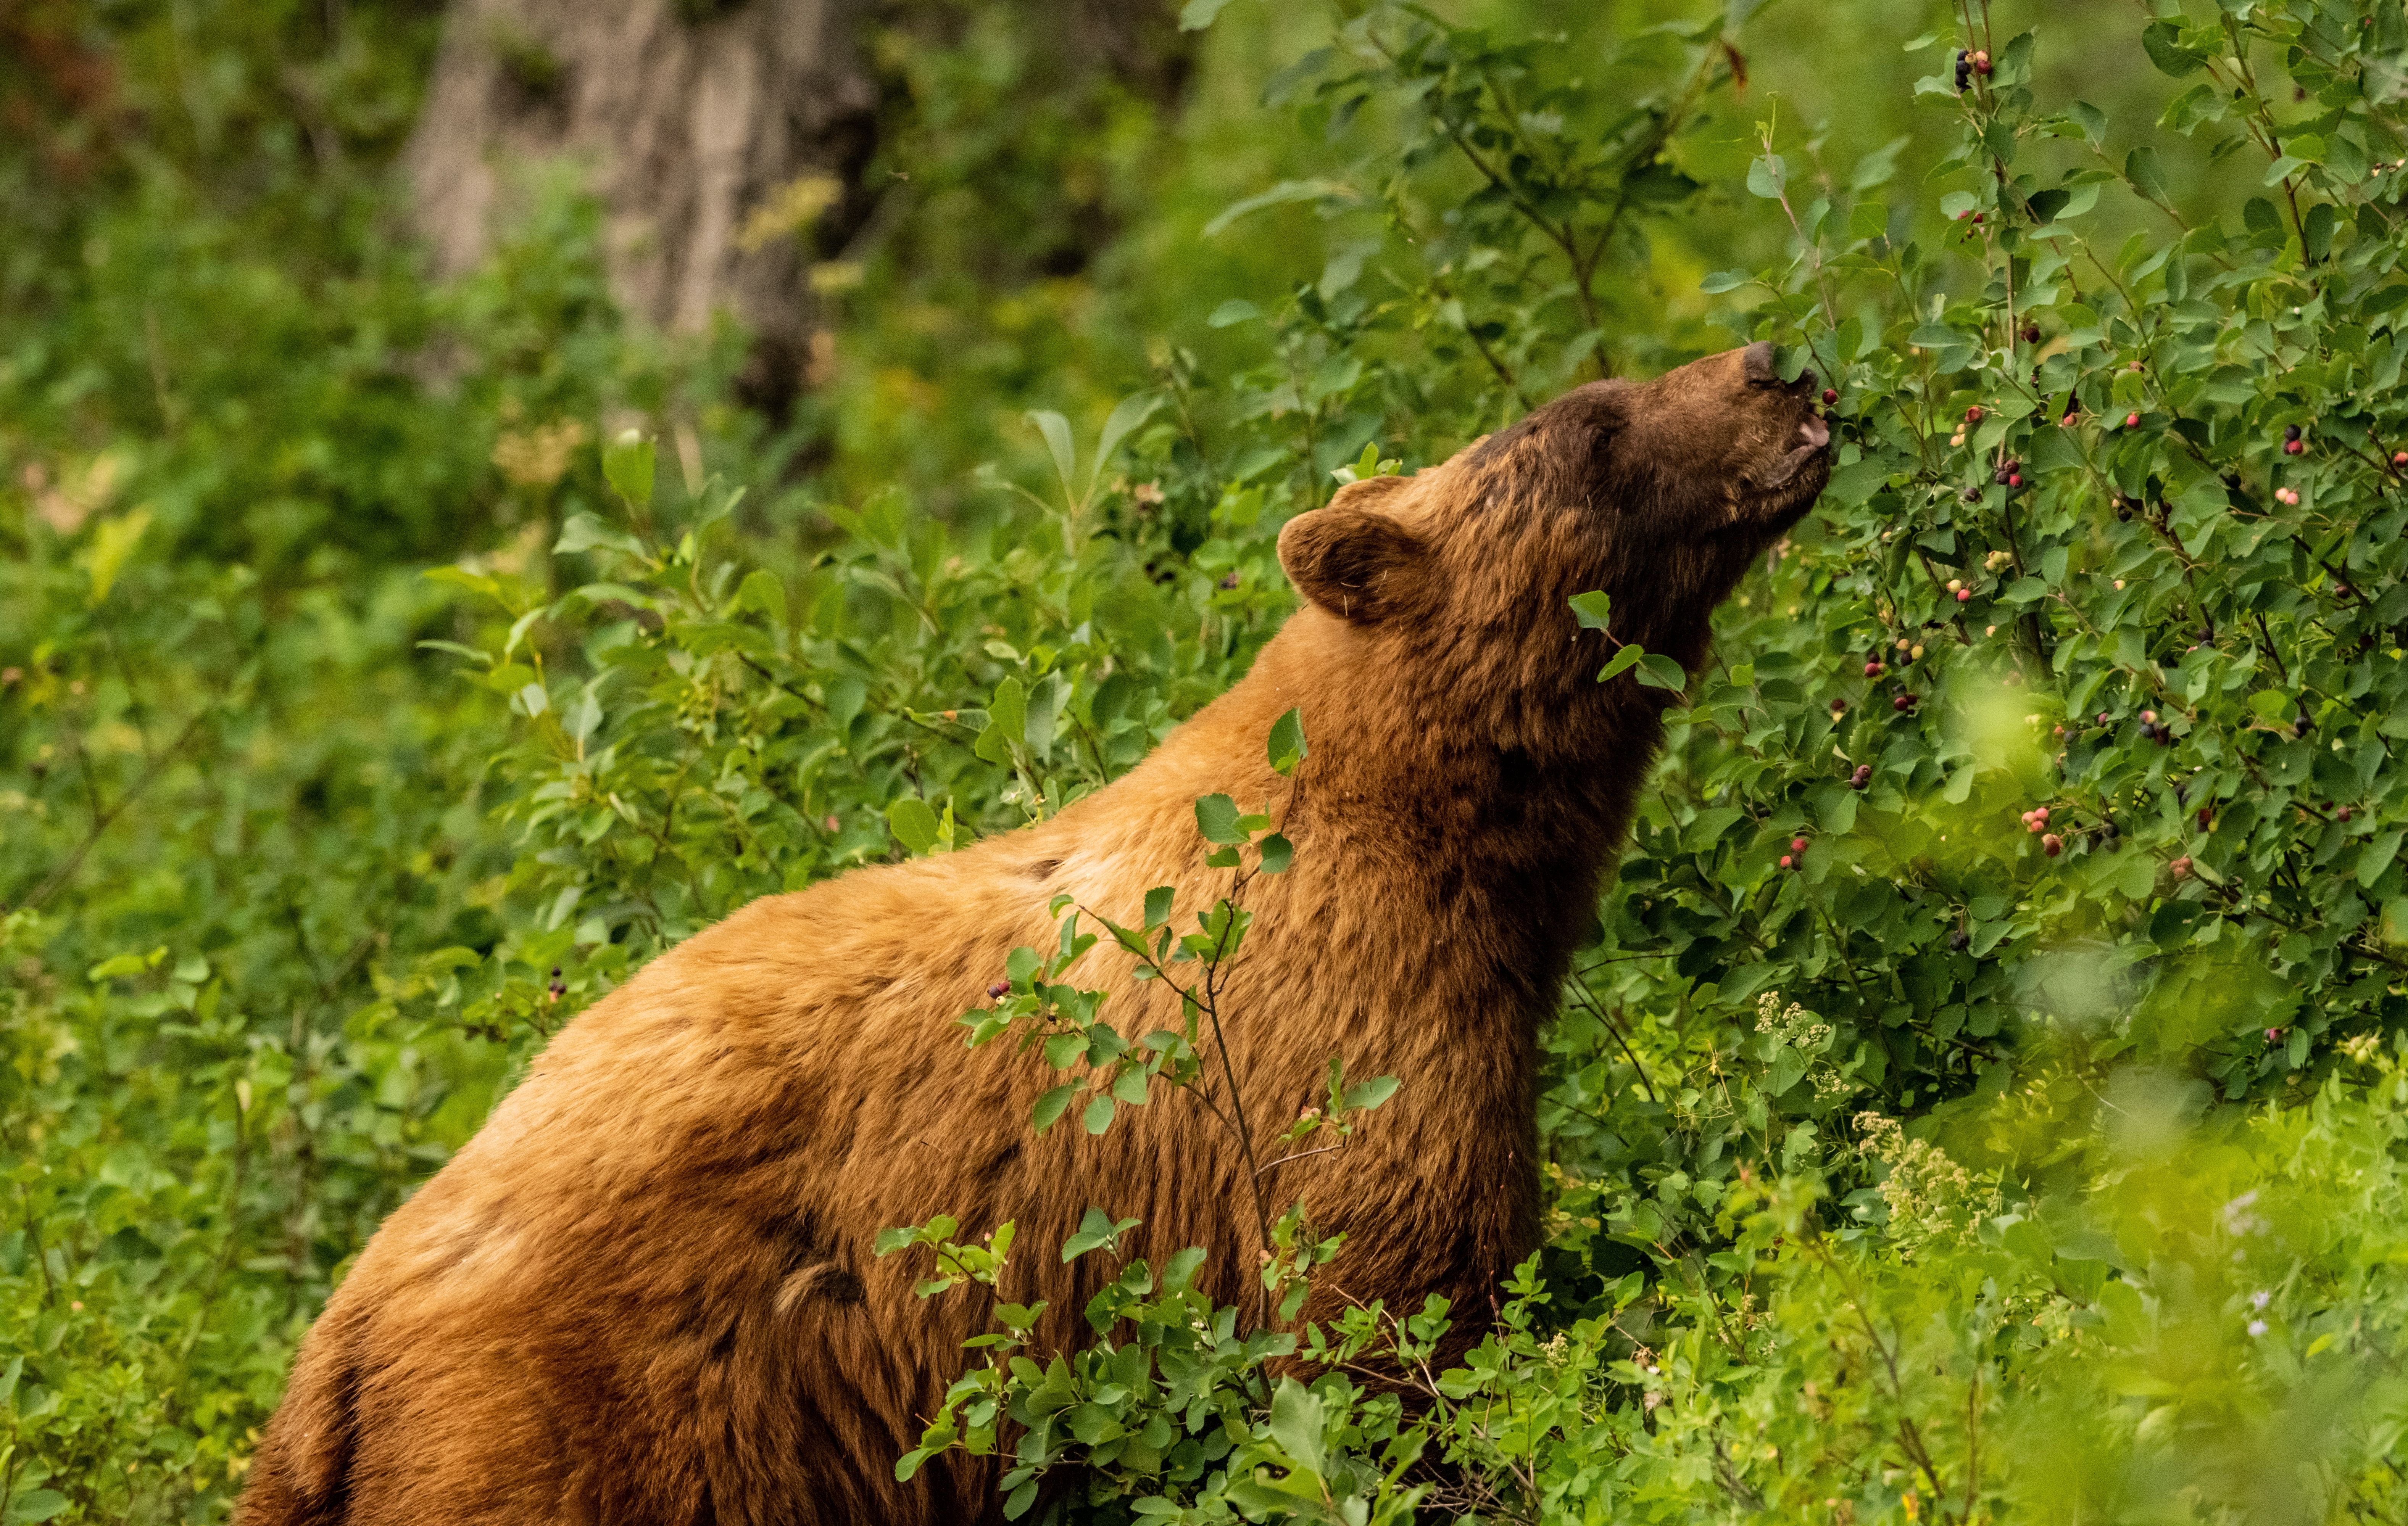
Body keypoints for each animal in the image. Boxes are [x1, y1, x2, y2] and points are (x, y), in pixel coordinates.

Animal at [236, 340, 1830, 1526]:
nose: (1777, 367)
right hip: (587, 1419)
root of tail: (339, 1342)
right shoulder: (1338, 1066)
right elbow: (1394, 1335)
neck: (1441, 840)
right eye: (1594, 424)